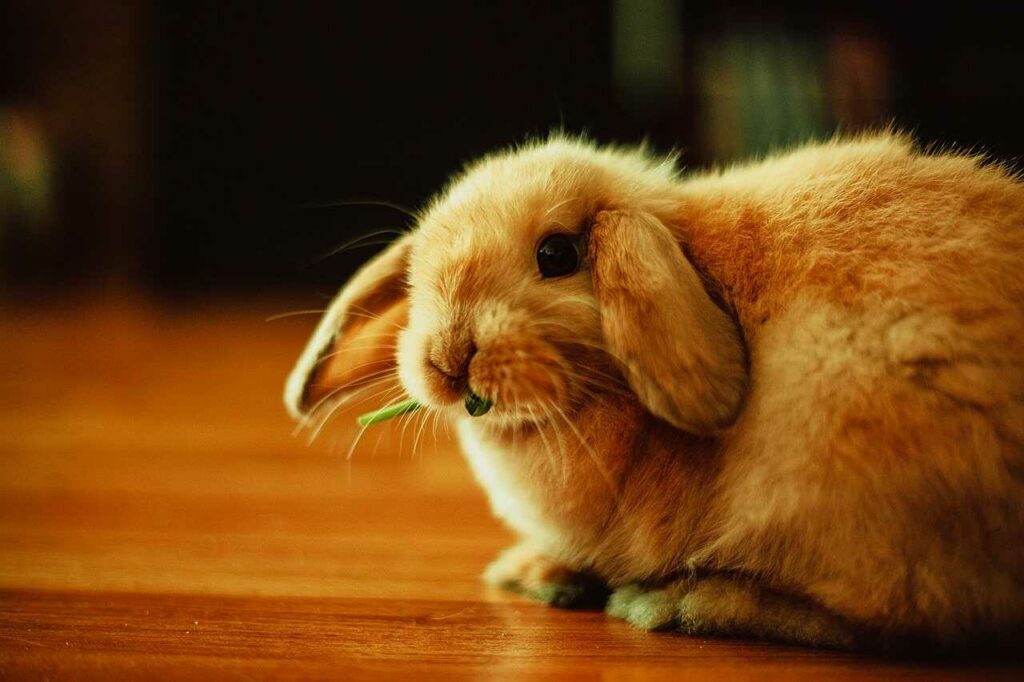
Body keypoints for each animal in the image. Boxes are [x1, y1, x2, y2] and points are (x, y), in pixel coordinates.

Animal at [284, 131, 1024, 647]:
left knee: (898, 621)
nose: (447, 357)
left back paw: (673, 603)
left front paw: (532, 575)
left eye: (556, 255)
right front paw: (535, 569)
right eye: (416, 278)